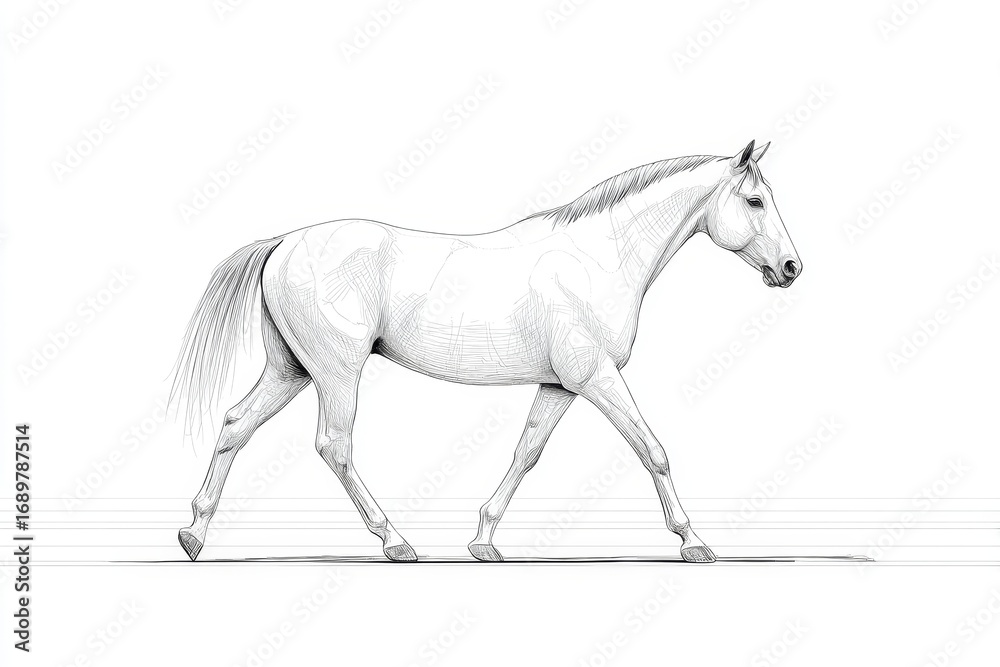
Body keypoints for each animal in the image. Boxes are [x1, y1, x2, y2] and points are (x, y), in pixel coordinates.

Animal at [172, 139, 802, 563]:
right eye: (755, 201)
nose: (791, 268)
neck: (599, 257)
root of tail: (283, 243)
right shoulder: (597, 377)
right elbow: (654, 450)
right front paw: (694, 542)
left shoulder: (559, 385)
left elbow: (526, 453)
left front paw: (483, 540)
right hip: (335, 372)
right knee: (335, 446)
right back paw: (396, 542)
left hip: (292, 370)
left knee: (235, 425)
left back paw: (193, 535)